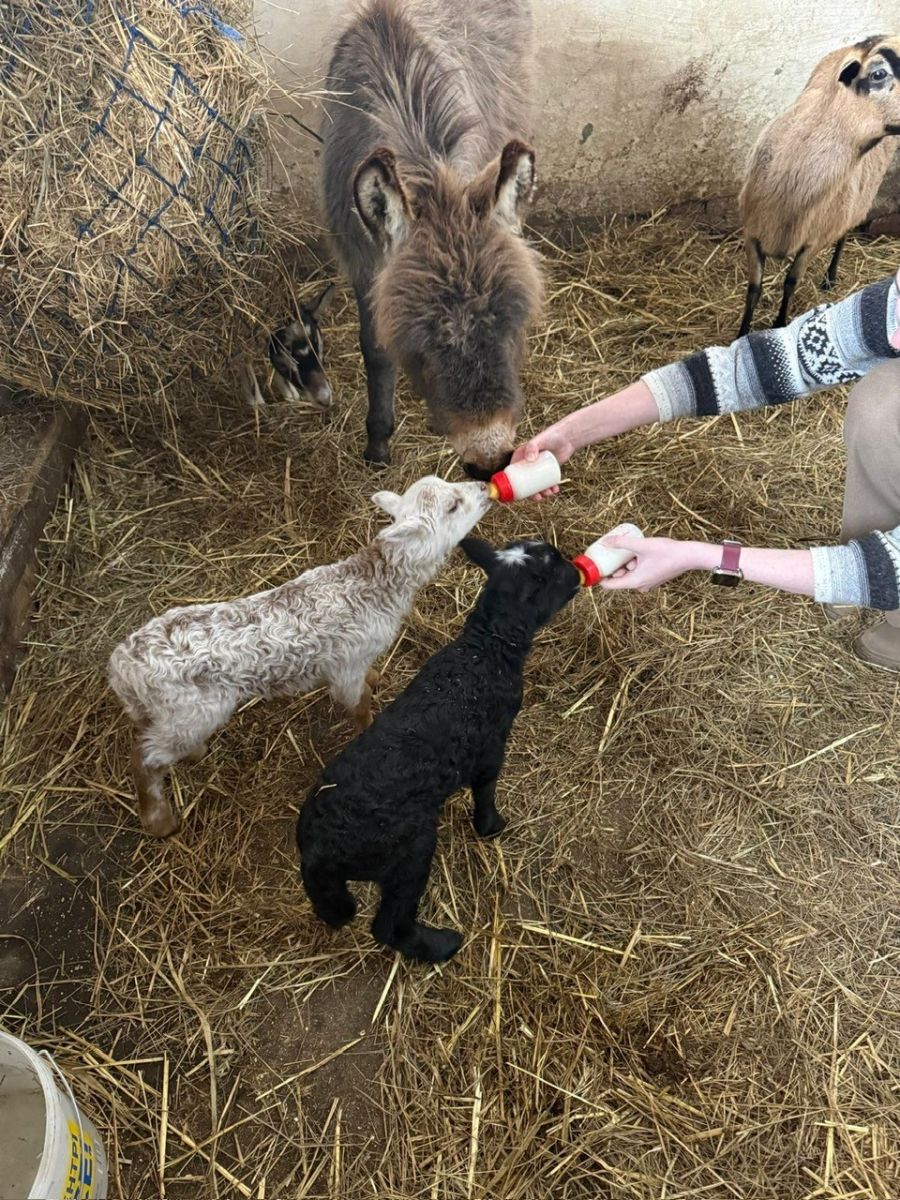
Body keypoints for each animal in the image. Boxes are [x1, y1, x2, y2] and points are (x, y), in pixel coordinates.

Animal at [108, 476, 492, 838]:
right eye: (453, 505)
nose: (485, 486)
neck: (376, 584)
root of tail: (122, 667)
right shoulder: (347, 666)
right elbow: (360, 703)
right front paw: (368, 727)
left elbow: (367, 682)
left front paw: (376, 677)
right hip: (192, 711)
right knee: (144, 759)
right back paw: (159, 819)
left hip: (172, 713)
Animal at [296, 536, 581, 964]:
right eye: (553, 569)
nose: (580, 572)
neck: (486, 647)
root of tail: (317, 852)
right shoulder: (491, 742)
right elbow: (486, 787)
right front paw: (491, 826)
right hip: (405, 855)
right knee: (389, 926)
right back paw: (442, 945)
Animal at [738, 36, 900, 337]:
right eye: (878, 74)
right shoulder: (752, 234)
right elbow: (753, 289)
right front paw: (741, 334)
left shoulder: (812, 241)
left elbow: (790, 282)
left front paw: (780, 323)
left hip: (857, 200)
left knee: (844, 233)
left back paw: (830, 277)